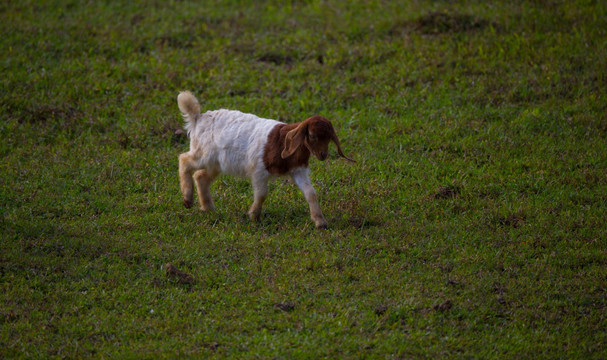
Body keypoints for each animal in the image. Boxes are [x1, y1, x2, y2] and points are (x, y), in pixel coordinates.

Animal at [178, 91, 354, 229]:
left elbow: (310, 193)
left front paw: (320, 222)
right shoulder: (258, 170)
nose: (323, 155)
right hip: (204, 153)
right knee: (184, 160)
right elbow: (262, 194)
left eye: (329, 138)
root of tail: (198, 118)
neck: (282, 142)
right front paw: (254, 216)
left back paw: (208, 208)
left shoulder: (298, 170)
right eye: (312, 135)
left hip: (216, 163)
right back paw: (187, 199)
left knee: (201, 176)